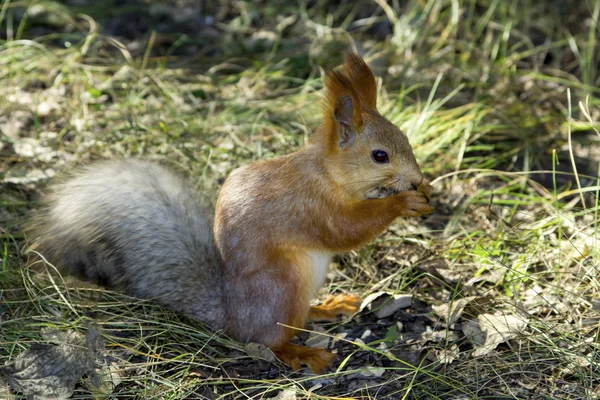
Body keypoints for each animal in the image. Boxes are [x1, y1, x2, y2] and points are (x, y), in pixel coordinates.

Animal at [29, 53, 432, 372]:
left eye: (405, 139)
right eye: (379, 155)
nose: (416, 179)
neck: (325, 172)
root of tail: (231, 315)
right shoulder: (309, 205)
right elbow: (345, 230)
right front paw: (403, 203)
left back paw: (326, 307)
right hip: (283, 287)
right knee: (270, 339)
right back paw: (303, 353)